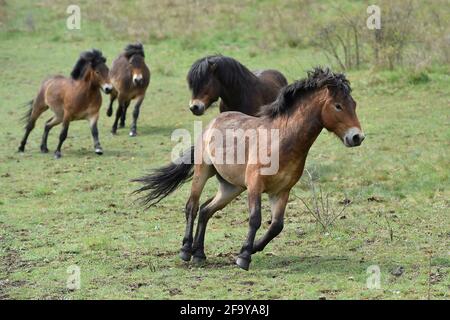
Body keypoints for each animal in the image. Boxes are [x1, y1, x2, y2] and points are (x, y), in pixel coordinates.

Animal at [134, 67, 366, 270]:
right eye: (338, 105)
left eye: (354, 104)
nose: (357, 137)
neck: (282, 140)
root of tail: (211, 124)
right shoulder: (256, 185)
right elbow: (255, 219)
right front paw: (244, 257)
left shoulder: (281, 191)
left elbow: (276, 226)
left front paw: (250, 249)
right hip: (203, 172)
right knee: (192, 206)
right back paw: (185, 250)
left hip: (231, 187)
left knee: (206, 209)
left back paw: (199, 254)